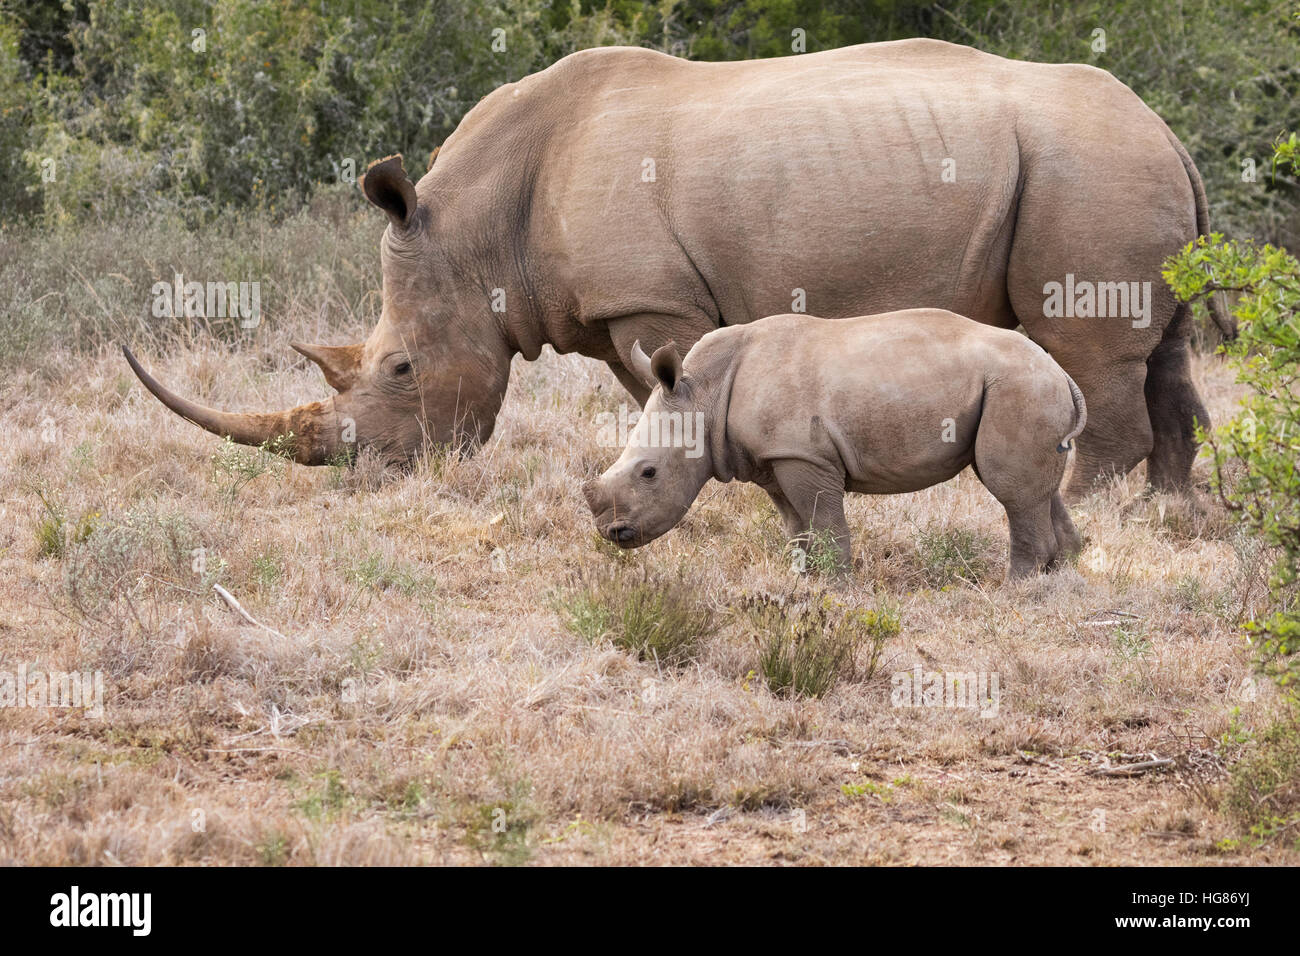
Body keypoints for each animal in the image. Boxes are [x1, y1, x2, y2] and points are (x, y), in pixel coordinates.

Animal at [126, 40, 1232, 496]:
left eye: (399, 369)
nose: (368, 475)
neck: (479, 231)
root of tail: (1169, 132)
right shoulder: (624, 307)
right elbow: (650, 396)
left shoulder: (649, 299)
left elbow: (672, 387)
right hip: (1109, 169)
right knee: (1163, 358)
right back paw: (1166, 519)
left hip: (1087, 170)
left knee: (1089, 357)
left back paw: (1082, 505)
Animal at [587, 310, 1086, 580]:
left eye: (649, 472)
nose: (613, 534)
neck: (703, 394)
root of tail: (1062, 373)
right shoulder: (774, 458)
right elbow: (796, 529)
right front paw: (803, 584)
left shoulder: (804, 454)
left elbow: (825, 524)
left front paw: (837, 591)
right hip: (1027, 387)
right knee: (1038, 492)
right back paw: (1058, 582)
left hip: (1019, 386)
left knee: (1011, 491)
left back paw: (1014, 593)